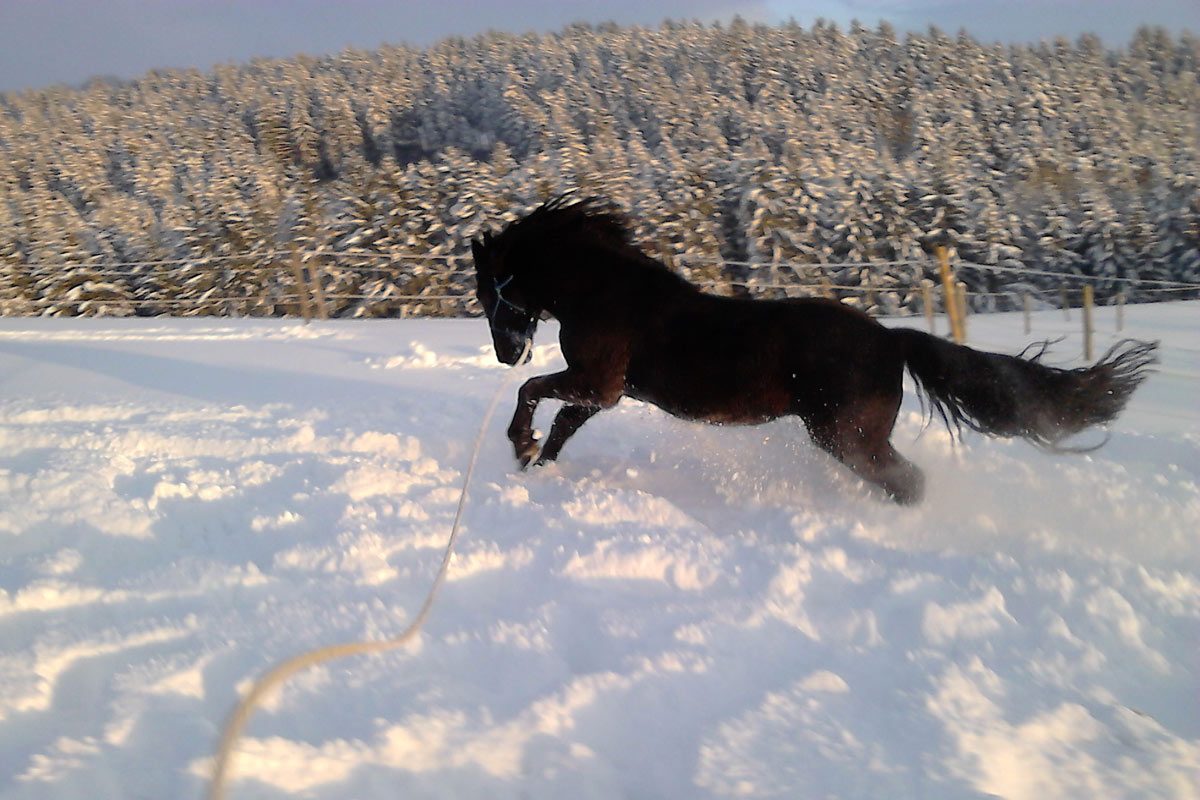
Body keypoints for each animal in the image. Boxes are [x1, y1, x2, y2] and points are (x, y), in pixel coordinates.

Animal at [469, 196, 1158, 504]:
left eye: (486, 291)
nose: (505, 353)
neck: (607, 293)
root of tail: (892, 340)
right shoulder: (602, 391)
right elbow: (563, 424)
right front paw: (537, 466)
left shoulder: (600, 381)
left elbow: (534, 394)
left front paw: (519, 446)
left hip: (844, 435)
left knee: (907, 480)